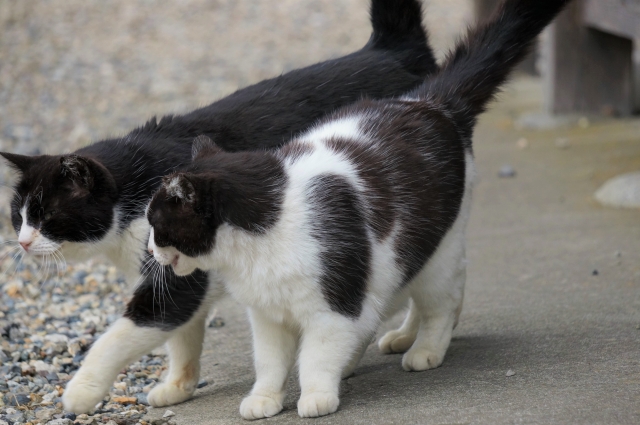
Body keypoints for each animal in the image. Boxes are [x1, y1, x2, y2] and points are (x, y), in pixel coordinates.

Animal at [0, 0, 440, 412]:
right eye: (18, 216)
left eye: (47, 216)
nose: (23, 242)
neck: (132, 194)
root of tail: (390, 48)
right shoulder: (174, 266)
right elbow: (183, 335)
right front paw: (178, 385)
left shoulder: (172, 276)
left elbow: (124, 333)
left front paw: (81, 391)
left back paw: (413, 340)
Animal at [148, 0, 572, 418]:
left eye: (156, 223)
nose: (149, 247)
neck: (262, 239)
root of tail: (429, 101)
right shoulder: (268, 316)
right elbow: (269, 361)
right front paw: (265, 398)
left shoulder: (332, 306)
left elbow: (316, 356)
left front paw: (316, 395)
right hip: (395, 262)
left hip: (437, 252)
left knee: (442, 301)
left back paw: (425, 350)